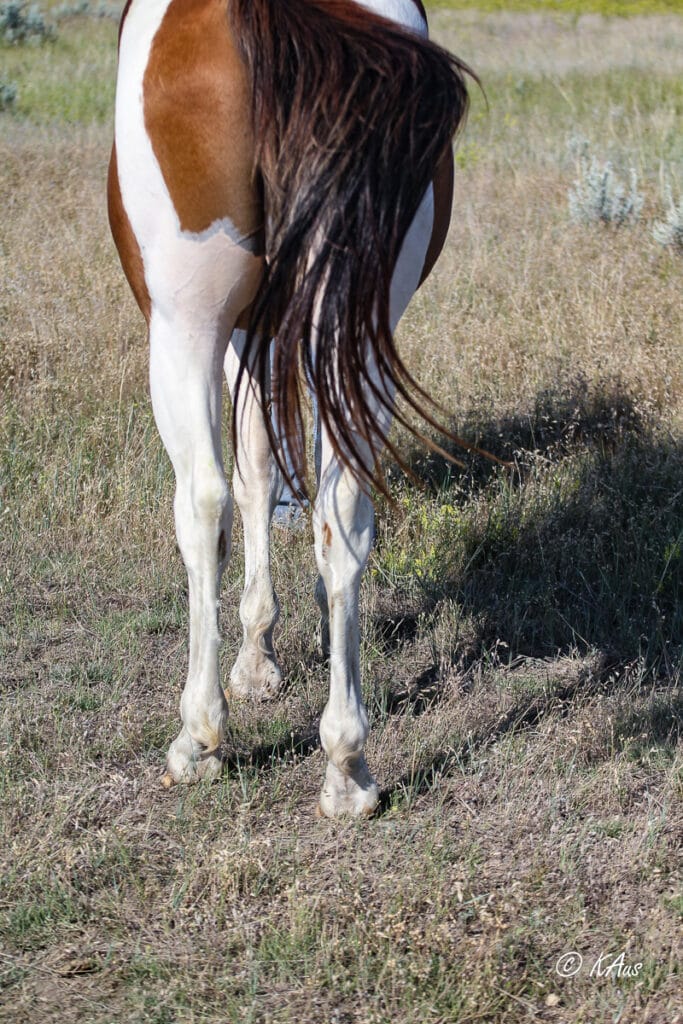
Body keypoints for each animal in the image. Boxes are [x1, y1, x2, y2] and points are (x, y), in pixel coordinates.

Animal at [108, 0, 472, 817]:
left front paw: (247, 668)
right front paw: (264, 653)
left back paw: (199, 738)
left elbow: (244, 482)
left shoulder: (236, 331)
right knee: (343, 513)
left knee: (203, 502)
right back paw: (347, 766)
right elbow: (269, 471)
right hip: (359, 330)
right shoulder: (276, 330)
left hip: (183, 330)